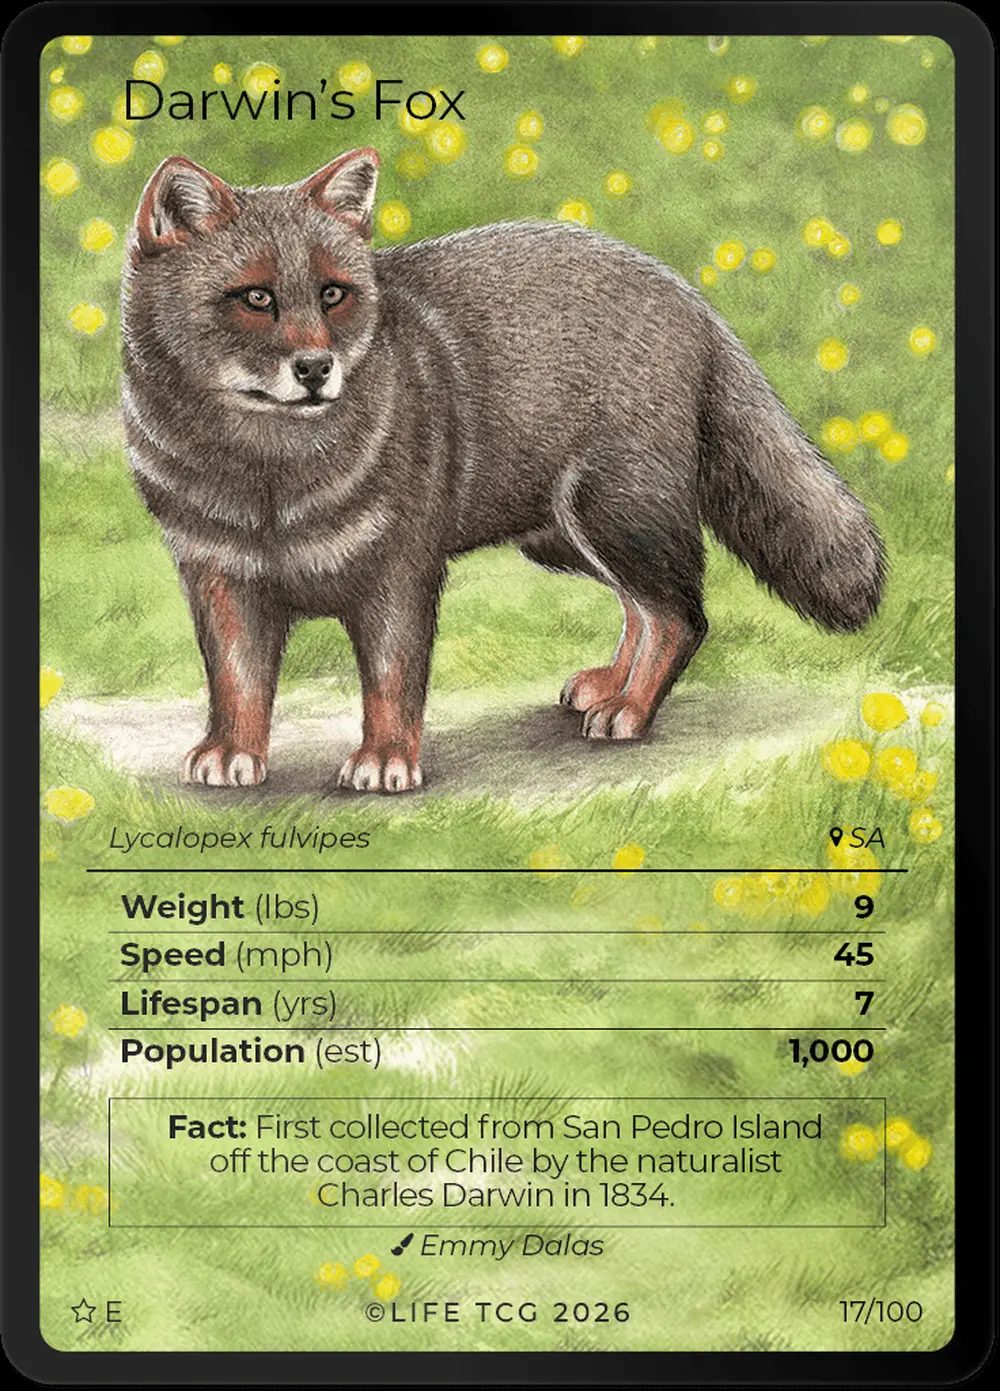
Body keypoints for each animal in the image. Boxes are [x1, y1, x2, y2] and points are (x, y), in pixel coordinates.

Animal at [121, 147, 885, 793]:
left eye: (333, 295)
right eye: (257, 298)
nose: (315, 369)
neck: (268, 486)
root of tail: (688, 296)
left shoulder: (402, 575)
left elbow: (393, 683)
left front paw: (386, 760)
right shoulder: (220, 577)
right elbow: (238, 685)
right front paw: (232, 751)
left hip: (613, 516)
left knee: (682, 615)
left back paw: (632, 710)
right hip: (566, 539)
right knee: (643, 606)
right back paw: (612, 685)